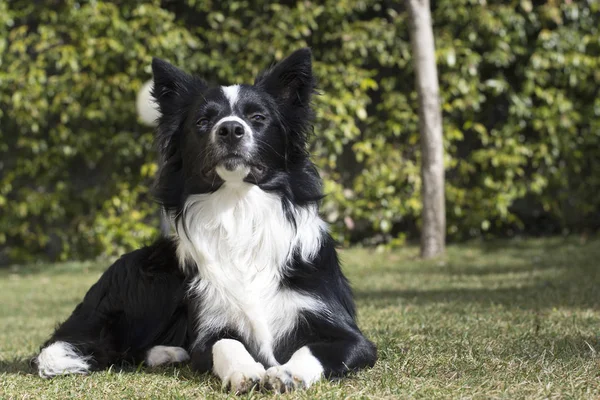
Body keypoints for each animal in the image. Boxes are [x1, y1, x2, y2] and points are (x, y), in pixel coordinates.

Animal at [35, 47, 376, 394]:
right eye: (203, 121)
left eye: (257, 118)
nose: (230, 129)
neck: (239, 208)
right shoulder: (210, 325)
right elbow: (225, 344)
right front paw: (244, 371)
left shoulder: (350, 336)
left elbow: (313, 349)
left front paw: (287, 373)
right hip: (147, 274)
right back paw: (168, 352)